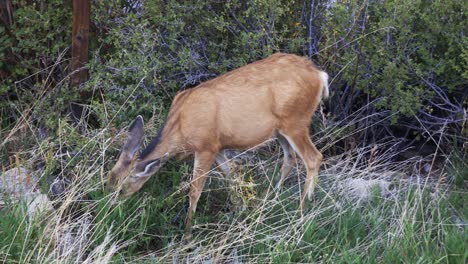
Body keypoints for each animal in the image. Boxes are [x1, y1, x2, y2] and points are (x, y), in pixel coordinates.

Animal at [109, 52, 330, 236]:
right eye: (108, 181)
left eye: (121, 189)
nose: (108, 209)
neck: (180, 127)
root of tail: (320, 75)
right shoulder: (219, 148)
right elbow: (230, 176)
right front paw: (240, 209)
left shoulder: (206, 146)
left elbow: (195, 191)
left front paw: (187, 233)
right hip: (280, 130)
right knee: (289, 158)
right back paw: (271, 201)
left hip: (296, 122)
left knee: (313, 158)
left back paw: (300, 212)